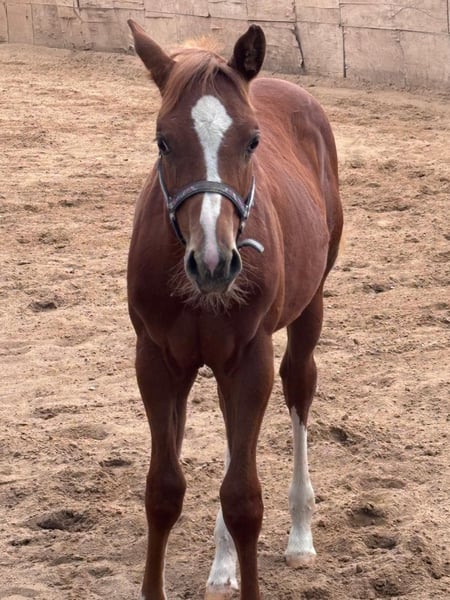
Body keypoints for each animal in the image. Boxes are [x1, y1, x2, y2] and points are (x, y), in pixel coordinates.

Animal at [126, 20, 343, 600]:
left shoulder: (249, 358)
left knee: (299, 386)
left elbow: (244, 500)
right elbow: (162, 490)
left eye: (252, 141)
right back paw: (221, 564)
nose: (214, 261)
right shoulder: (156, 360)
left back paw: (300, 536)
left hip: (308, 309)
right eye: (162, 140)